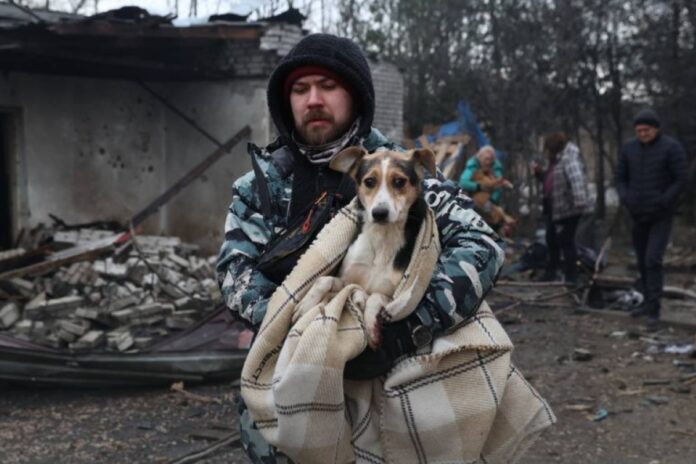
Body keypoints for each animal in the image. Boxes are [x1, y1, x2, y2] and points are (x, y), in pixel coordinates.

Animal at [293, 146, 436, 349]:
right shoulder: (346, 282)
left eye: (399, 181)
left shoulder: (392, 296)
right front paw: (305, 306)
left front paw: (371, 327)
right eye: (369, 181)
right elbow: (324, 280)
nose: (379, 213)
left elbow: (374, 297)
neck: (382, 239)